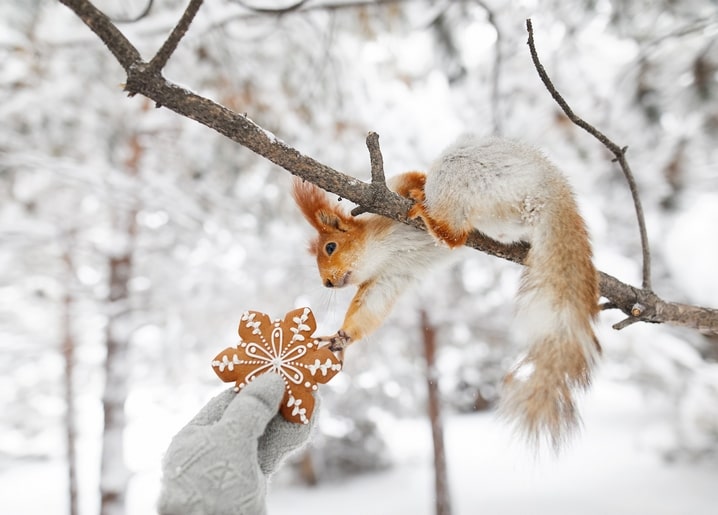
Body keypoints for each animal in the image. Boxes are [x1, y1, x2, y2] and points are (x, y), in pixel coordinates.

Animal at [292, 134, 601, 450]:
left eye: (330, 247)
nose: (327, 283)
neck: (377, 251)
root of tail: (551, 191)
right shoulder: (389, 277)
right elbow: (370, 306)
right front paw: (342, 337)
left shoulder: (396, 189)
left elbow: (413, 178)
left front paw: (416, 190)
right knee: (459, 236)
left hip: (462, 172)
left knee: (453, 235)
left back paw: (424, 209)